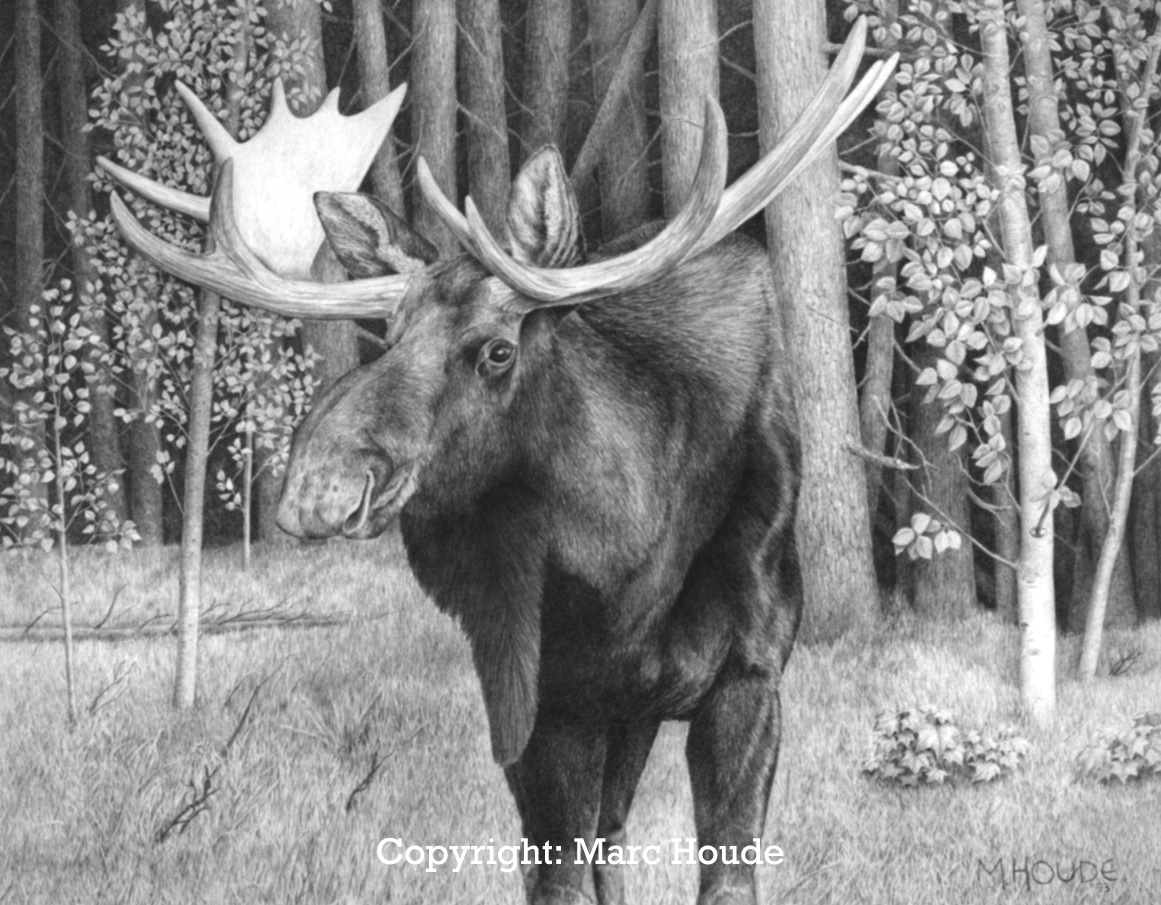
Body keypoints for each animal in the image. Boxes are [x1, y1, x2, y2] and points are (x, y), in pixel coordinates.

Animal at [101, 20, 893, 905]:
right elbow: (557, 872)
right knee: (599, 835)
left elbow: (723, 872)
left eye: (497, 350)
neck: (629, 560)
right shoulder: (541, 692)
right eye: (387, 335)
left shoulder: (750, 677)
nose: (317, 487)